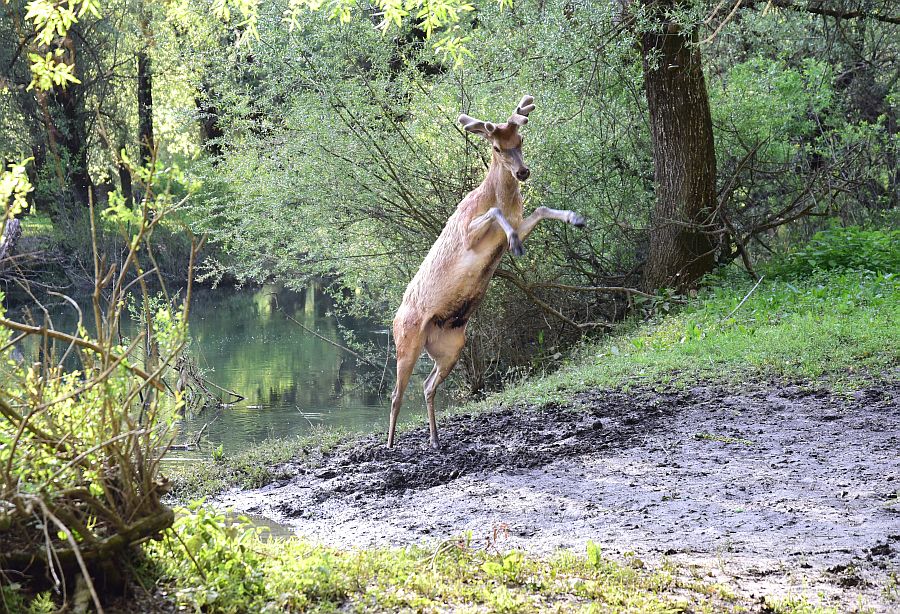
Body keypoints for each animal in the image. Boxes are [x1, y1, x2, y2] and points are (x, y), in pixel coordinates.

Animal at [388, 96, 588, 452]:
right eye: (496, 146)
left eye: (520, 139)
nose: (523, 171)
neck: (499, 198)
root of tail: (395, 321)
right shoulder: (467, 233)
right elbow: (494, 213)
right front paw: (518, 245)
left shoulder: (520, 220)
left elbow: (539, 209)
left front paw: (575, 219)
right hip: (407, 340)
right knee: (396, 394)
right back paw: (390, 444)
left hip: (451, 346)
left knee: (427, 385)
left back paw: (435, 439)